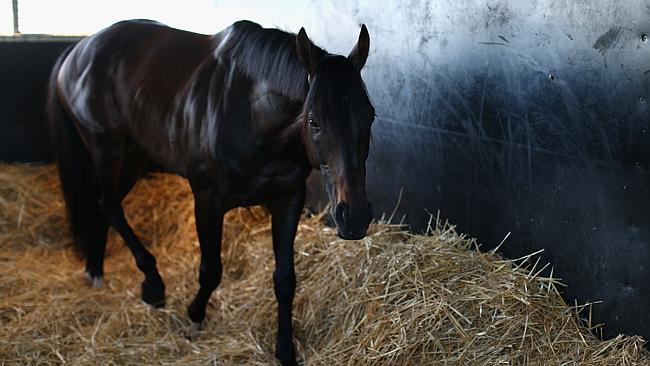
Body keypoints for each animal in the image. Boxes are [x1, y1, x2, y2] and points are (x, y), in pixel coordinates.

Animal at [46, 19, 374, 364]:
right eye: (314, 121)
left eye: (370, 116)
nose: (354, 217)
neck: (251, 113)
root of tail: (78, 49)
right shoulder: (207, 200)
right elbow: (211, 270)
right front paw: (194, 316)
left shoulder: (288, 200)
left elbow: (285, 279)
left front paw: (285, 350)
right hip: (106, 149)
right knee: (108, 203)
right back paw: (152, 284)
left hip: (135, 153)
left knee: (102, 204)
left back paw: (96, 269)